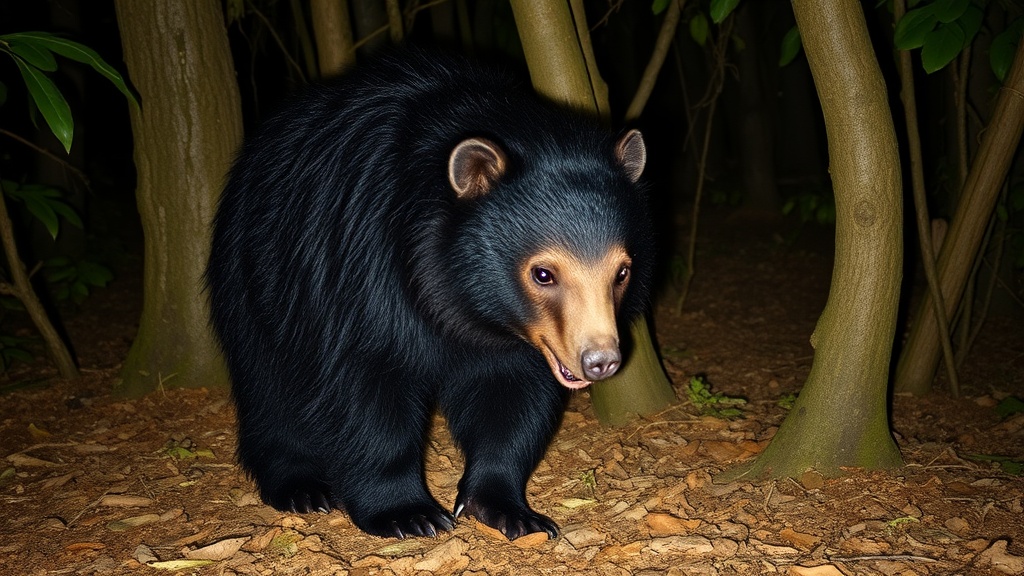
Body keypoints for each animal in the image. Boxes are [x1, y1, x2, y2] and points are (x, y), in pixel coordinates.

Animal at [206, 50, 654, 541]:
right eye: (542, 273)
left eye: (622, 271)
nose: (601, 361)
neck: (462, 302)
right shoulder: (362, 275)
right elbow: (365, 389)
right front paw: (408, 513)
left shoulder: (518, 342)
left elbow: (513, 399)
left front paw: (510, 510)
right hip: (254, 275)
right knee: (268, 382)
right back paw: (300, 486)